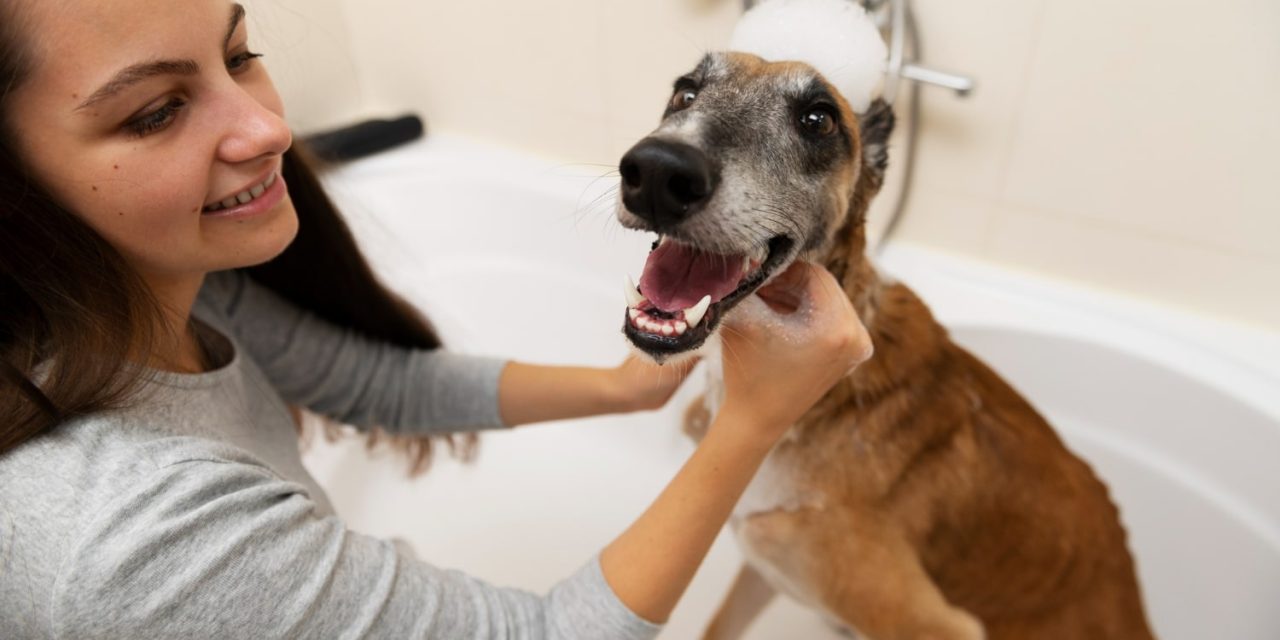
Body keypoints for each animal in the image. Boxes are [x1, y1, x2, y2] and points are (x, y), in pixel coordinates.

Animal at [614, 51, 1157, 640]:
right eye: (685, 93)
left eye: (818, 120)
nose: (659, 171)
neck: (829, 403)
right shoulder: (763, 567)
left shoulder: (936, 624)